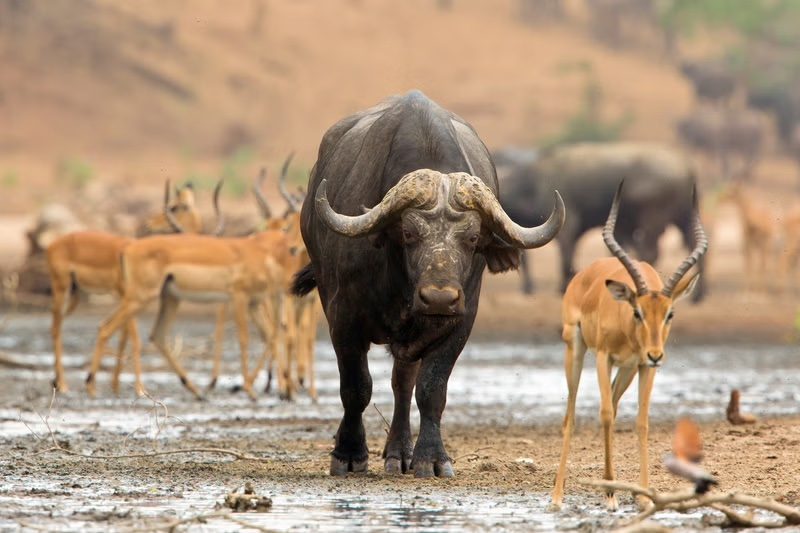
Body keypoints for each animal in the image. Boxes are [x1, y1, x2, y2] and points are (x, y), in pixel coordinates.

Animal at [292, 89, 564, 476]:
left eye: (472, 238)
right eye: (408, 233)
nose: (438, 299)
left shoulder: (460, 321)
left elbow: (431, 389)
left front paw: (432, 458)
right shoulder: (342, 317)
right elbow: (356, 388)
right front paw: (349, 454)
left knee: (403, 383)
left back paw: (400, 452)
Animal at [504, 141, 704, 300]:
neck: (531, 183)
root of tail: (686, 167)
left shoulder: (568, 224)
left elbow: (566, 256)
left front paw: (563, 287)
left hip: (653, 220)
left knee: (650, 252)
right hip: (685, 217)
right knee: (692, 246)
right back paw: (697, 295)